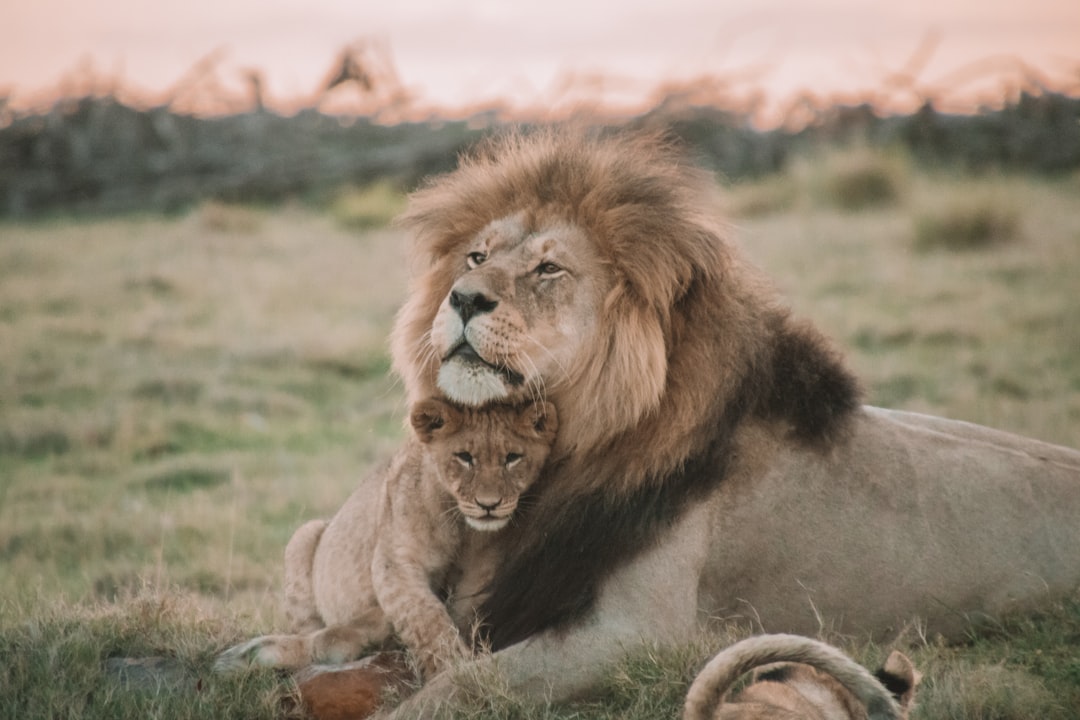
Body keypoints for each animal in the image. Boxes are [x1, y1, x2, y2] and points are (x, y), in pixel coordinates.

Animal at [215, 398, 556, 677]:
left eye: (512, 457)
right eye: (464, 457)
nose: (489, 504)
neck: (464, 528)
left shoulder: (483, 573)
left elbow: (461, 613)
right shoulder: (395, 561)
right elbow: (425, 617)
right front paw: (452, 669)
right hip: (304, 535)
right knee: (310, 628)